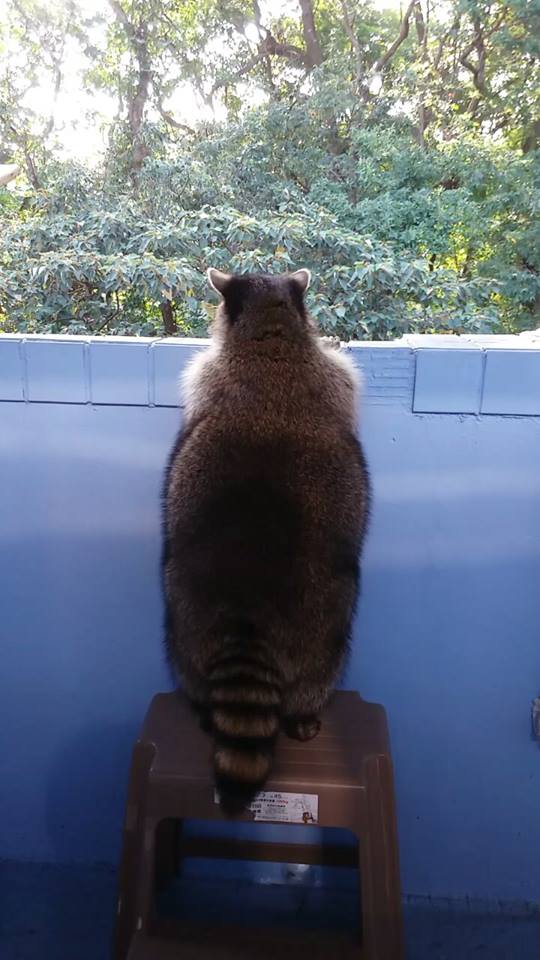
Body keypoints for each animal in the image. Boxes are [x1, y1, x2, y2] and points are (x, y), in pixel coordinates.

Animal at [162, 268, 370, 813]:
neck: (273, 336)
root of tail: (247, 607)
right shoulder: (326, 377)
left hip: (184, 620)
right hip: (328, 624)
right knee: (320, 670)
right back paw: (304, 712)